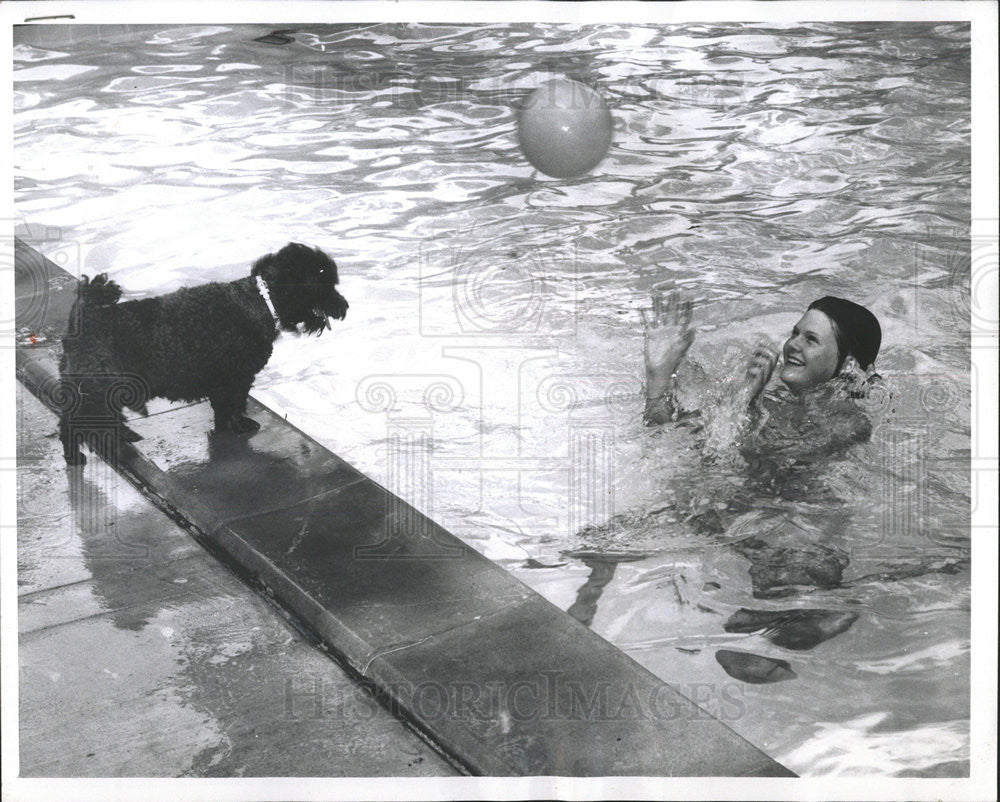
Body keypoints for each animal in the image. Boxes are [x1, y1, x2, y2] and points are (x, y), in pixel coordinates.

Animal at [58, 244, 350, 466]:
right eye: (324, 282)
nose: (345, 306)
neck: (259, 300)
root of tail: (84, 316)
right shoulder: (235, 377)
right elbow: (234, 404)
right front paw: (240, 425)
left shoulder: (223, 381)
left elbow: (222, 408)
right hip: (98, 389)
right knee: (73, 423)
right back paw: (76, 455)